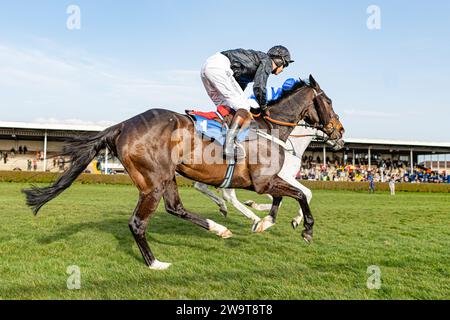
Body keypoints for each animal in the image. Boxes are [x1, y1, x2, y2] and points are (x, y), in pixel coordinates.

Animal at [22, 75, 344, 270]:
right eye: (328, 101)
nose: (339, 131)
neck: (271, 129)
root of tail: (122, 125)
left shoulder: (267, 181)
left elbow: (293, 195)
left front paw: (267, 220)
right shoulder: (265, 181)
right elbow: (301, 194)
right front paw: (303, 228)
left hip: (167, 176)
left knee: (176, 208)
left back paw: (219, 227)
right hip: (153, 181)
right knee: (138, 223)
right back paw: (155, 263)